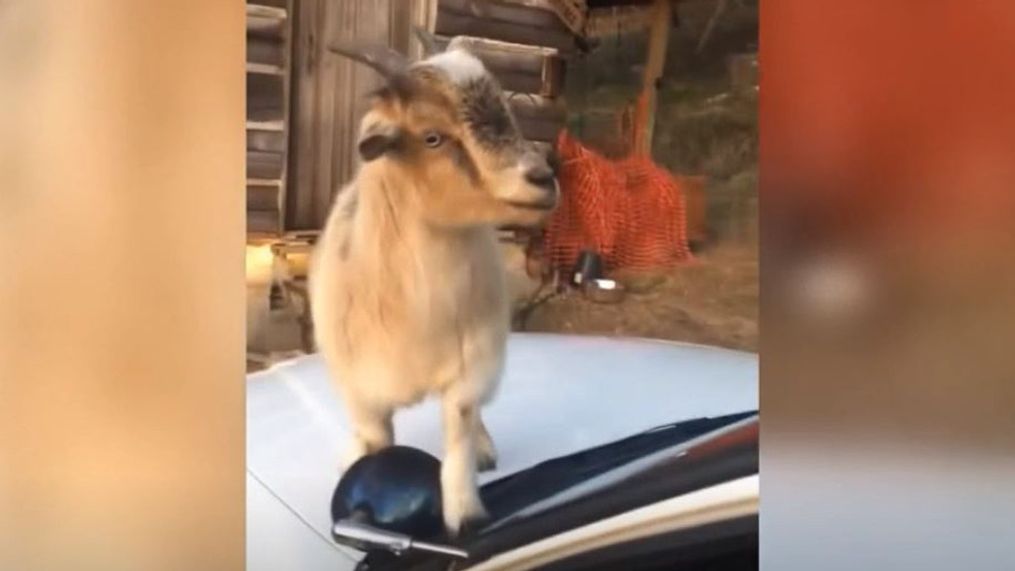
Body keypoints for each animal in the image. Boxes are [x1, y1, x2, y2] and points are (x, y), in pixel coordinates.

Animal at [310, 35, 564, 535]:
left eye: (508, 109)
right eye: (433, 137)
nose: (543, 178)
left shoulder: (470, 370)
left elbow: (459, 431)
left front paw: (464, 514)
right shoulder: (361, 390)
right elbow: (376, 442)